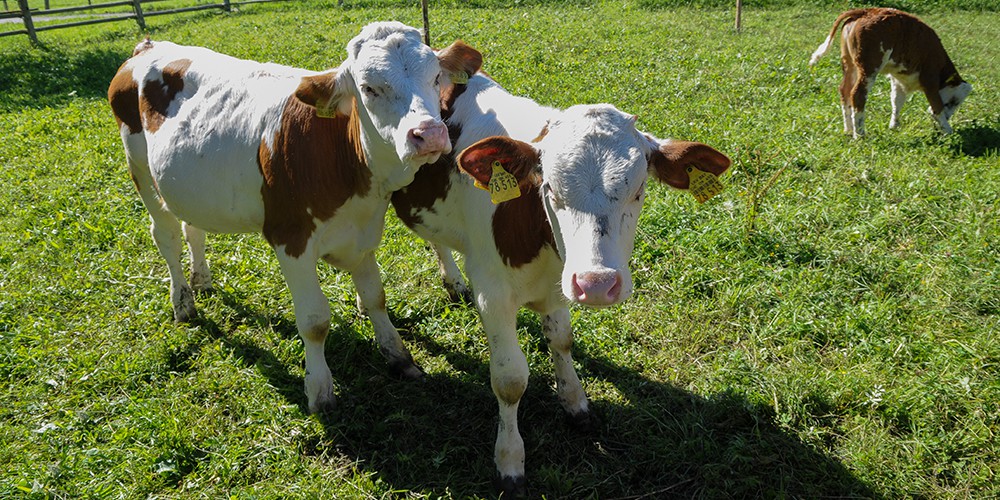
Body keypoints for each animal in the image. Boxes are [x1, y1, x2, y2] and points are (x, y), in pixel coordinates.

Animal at [107, 22, 482, 414]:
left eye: (436, 76)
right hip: (139, 168)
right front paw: (319, 390)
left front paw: (399, 357)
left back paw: (201, 280)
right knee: (165, 235)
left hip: (187, 186)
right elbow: (315, 321)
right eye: (368, 88)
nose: (429, 134)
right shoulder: (289, 238)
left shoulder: (361, 232)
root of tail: (148, 46)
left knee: (192, 228)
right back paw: (182, 302)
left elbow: (376, 297)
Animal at [392, 42, 736, 492]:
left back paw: (452, 282)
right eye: (550, 188)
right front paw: (510, 459)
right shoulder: (493, 293)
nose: (597, 283)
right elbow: (510, 380)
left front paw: (575, 401)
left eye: (640, 190)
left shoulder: (559, 282)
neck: (535, 240)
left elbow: (562, 340)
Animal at [812, 7, 968, 140]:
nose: (948, 117)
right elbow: (936, 106)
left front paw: (894, 126)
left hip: (850, 64)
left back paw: (849, 129)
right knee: (857, 94)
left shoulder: (899, 79)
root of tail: (867, 11)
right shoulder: (930, 80)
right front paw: (948, 130)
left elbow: (897, 101)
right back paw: (860, 134)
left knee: (844, 90)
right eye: (954, 101)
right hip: (869, 68)